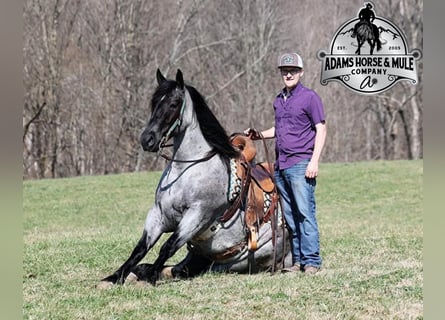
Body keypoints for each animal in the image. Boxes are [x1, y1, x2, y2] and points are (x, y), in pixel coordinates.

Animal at [99, 69, 292, 286]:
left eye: (174, 104)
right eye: (154, 102)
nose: (147, 139)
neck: (187, 170)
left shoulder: (197, 216)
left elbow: (167, 246)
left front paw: (150, 277)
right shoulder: (158, 214)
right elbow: (140, 248)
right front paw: (114, 277)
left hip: (234, 261)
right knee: (177, 267)